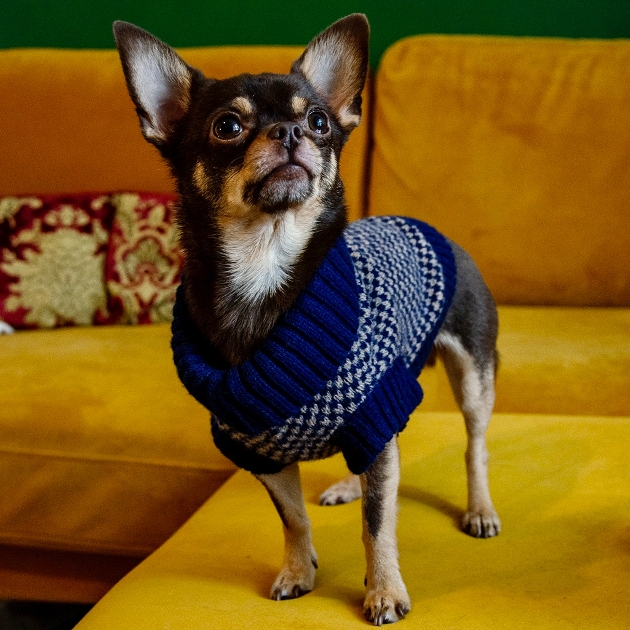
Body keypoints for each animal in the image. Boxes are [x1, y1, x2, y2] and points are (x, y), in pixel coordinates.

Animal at [112, 14, 498, 628]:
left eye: (318, 121)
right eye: (227, 126)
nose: (292, 132)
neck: (265, 268)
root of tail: (428, 226)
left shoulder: (374, 415)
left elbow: (377, 526)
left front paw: (384, 591)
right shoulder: (261, 452)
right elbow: (293, 518)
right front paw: (298, 571)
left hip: (473, 378)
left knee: (474, 445)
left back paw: (479, 507)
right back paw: (347, 485)